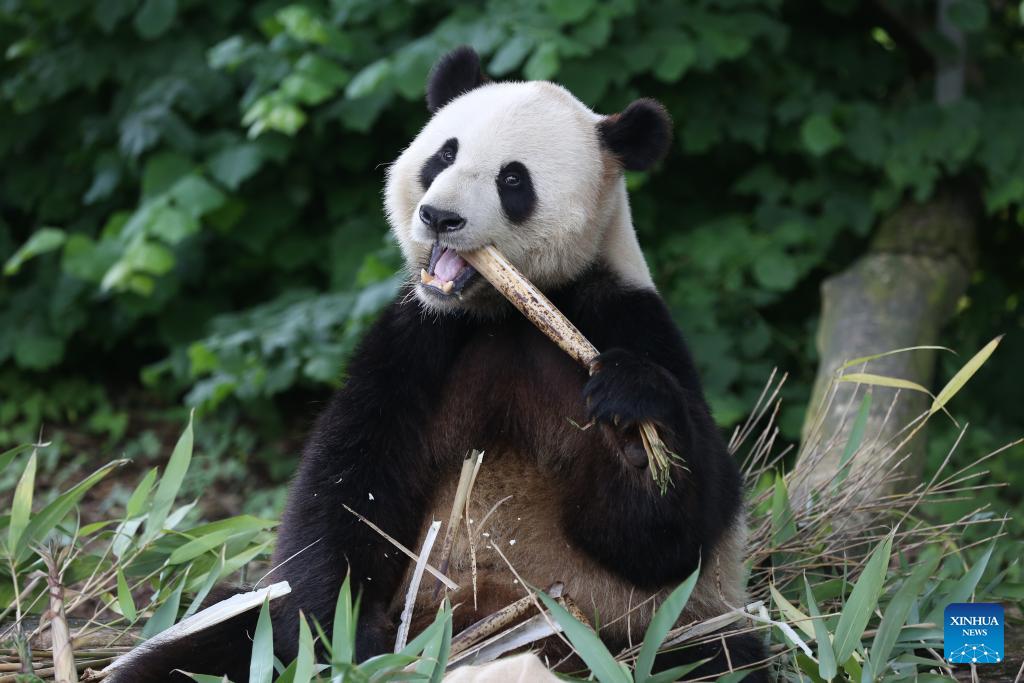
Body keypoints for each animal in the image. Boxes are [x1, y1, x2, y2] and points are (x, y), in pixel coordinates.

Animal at [114, 45, 770, 679]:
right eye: (444, 154)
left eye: (513, 179)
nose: (439, 217)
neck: (506, 309)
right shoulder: (417, 336)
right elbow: (344, 491)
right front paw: (342, 642)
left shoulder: (623, 314)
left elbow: (670, 536)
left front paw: (636, 435)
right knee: (212, 636)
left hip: (632, 636)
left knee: (716, 657)